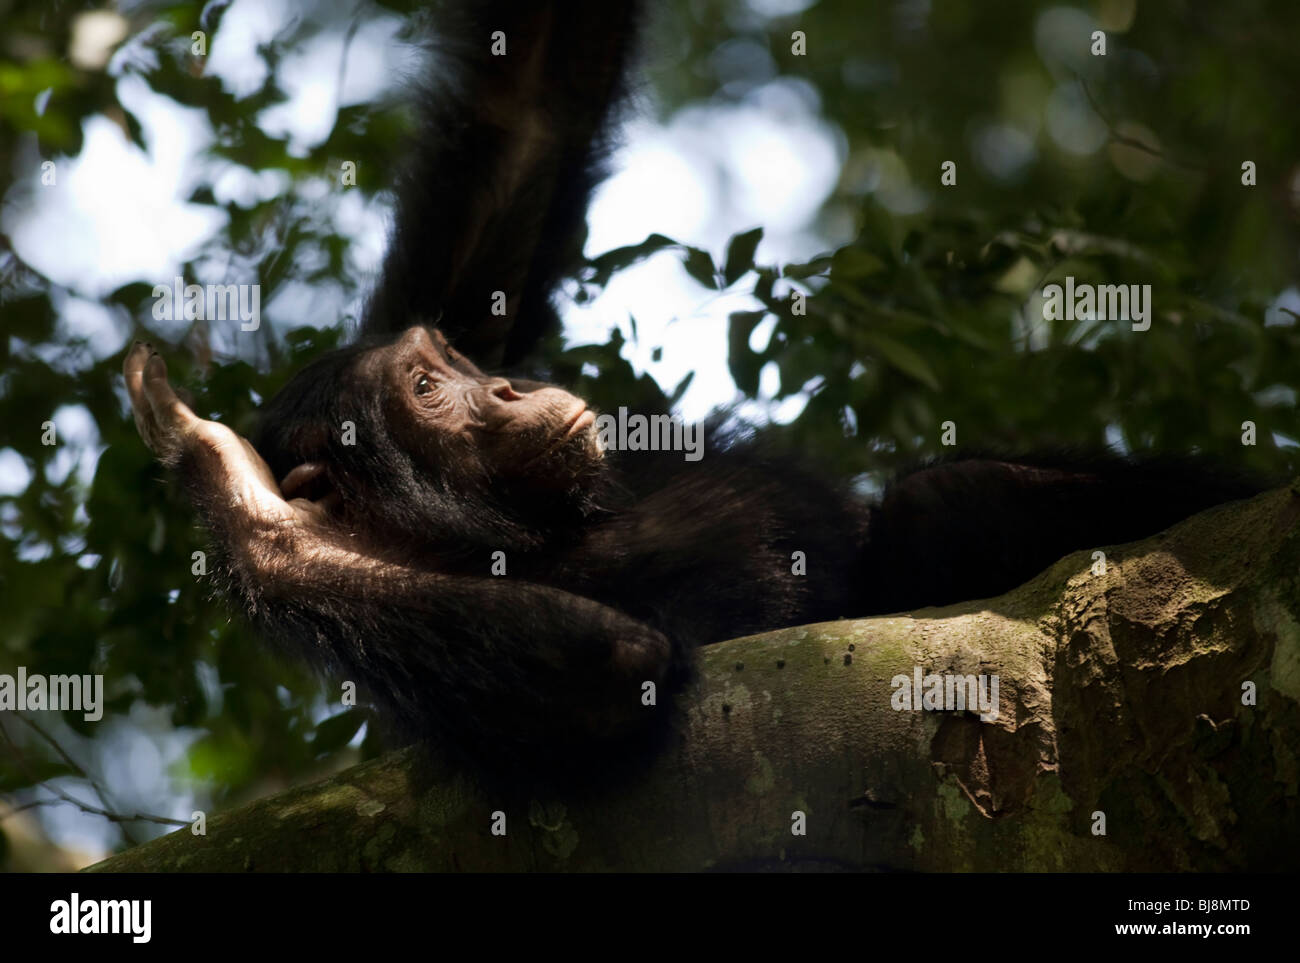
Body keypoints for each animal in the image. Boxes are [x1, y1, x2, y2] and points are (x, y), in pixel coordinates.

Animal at [124, 0, 1268, 779]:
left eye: (446, 358)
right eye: (425, 390)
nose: (504, 386)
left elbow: (529, 105)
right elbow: (611, 674)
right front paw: (231, 489)